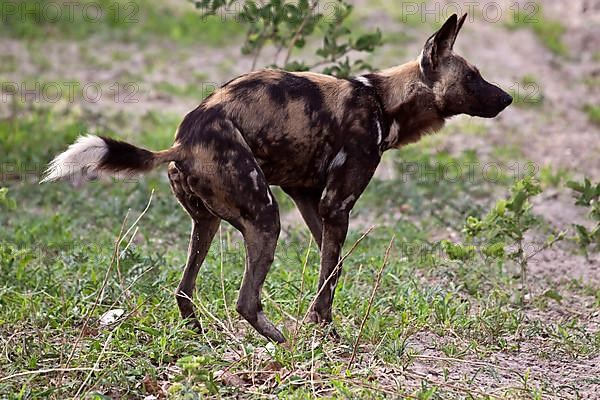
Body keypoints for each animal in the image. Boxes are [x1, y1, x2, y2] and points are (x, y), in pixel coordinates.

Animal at [42, 14, 510, 342]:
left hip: (207, 224)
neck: (382, 100)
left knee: (184, 290)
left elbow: (332, 270)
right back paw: (280, 341)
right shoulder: (335, 205)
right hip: (266, 219)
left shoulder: (308, 199)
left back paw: (202, 340)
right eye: (472, 77)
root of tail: (182, 143)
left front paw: (327, 329)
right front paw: (322, 334)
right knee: (246, 301)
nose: (508, 97)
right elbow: (329, 274)